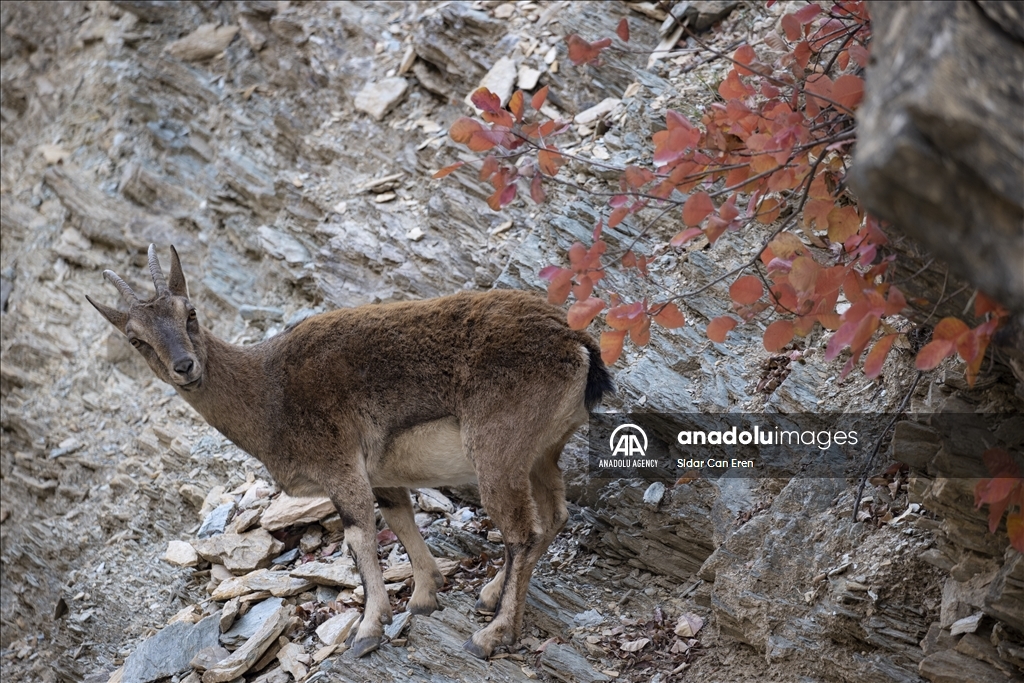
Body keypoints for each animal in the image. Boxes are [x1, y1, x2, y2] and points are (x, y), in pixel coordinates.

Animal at [88, 244, 610, 655]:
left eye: (190, 313)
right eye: (136, 339)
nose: (185, 366)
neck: (268, 393)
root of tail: (576, 342)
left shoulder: (338, 464)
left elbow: (359, 538)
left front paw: (368, 630)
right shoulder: (382, 476)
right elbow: (401, 521)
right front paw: (424, 597)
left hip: (497, 451)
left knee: (521, 531)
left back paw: (493, 634)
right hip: (539, 454)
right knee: (553, 516)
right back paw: (490, 594)